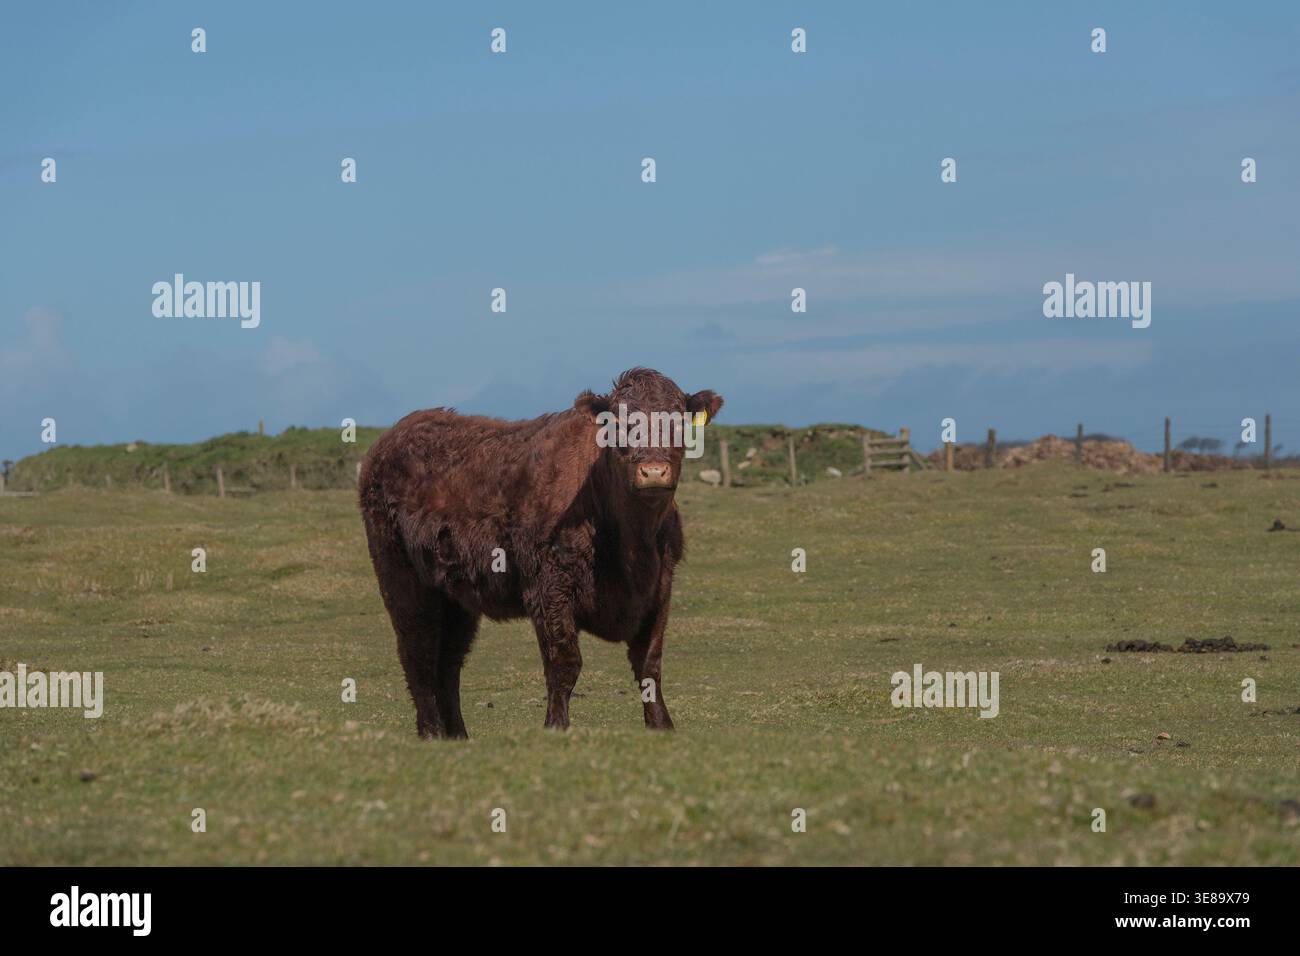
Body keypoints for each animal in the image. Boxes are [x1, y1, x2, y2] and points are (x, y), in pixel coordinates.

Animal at [358, 368, 723, 739]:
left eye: (679, 421)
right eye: (620, 424)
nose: (653, 472)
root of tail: (395, 435)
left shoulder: (660, 588)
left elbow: (649, 662)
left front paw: (661, 724)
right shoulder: (549, 586)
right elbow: (564, 662)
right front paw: (556, 725)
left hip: (455, 598)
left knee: (448, 662)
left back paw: (457, 735)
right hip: (403, 580)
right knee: (418, 654)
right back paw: (432, 733)